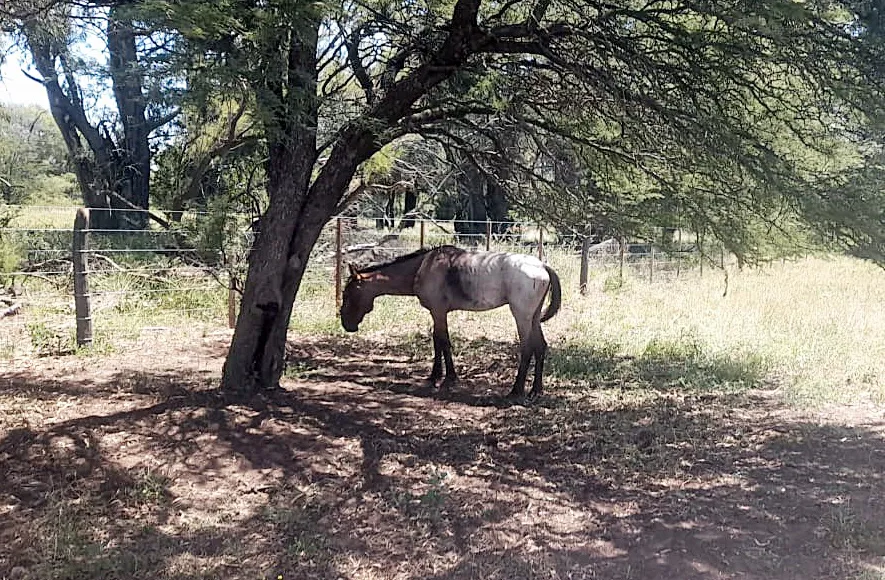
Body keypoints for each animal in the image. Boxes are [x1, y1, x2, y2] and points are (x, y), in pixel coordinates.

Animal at [340, 245, 562, 398]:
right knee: (540, 346)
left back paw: (516, 390)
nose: (346, 323)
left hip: (521, 316)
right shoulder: (437, 313)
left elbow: (443, 342)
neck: (423, 267)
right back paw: (536, 390)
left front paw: (448, 378)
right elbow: (437, 341)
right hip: (534, 317)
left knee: (527, 348)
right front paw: (435, 376)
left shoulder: (438, 312)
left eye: (349, 294)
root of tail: (542, 266)